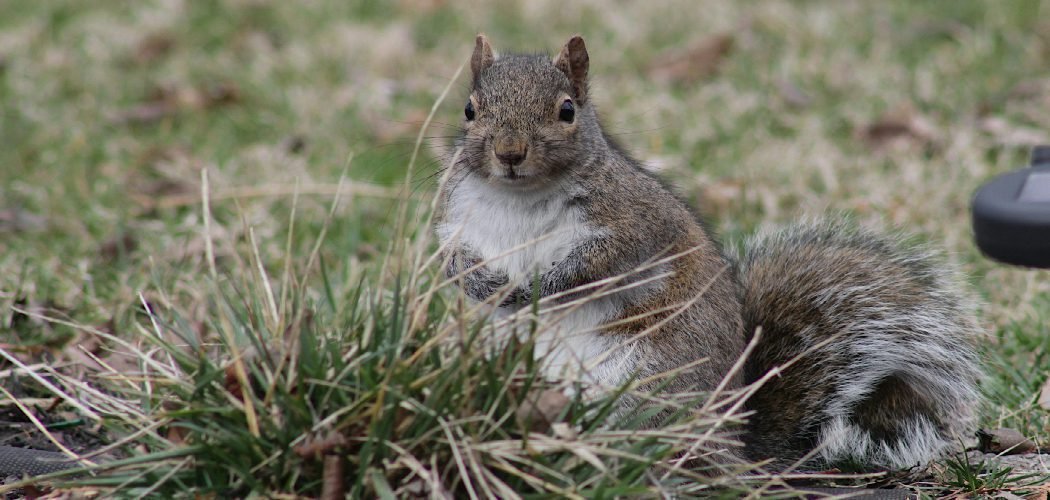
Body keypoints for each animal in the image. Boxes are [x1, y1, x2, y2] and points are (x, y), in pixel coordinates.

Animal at [434, 34, 983, 471]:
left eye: (566, 110)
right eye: (470, 110)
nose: (509, 154)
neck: (520, 198)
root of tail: (735, 443)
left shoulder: (633, 223)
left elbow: (596, 266)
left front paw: (537, 288)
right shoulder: (454, 219)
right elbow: (451, 260)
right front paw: (484, 283)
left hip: (645, 378)